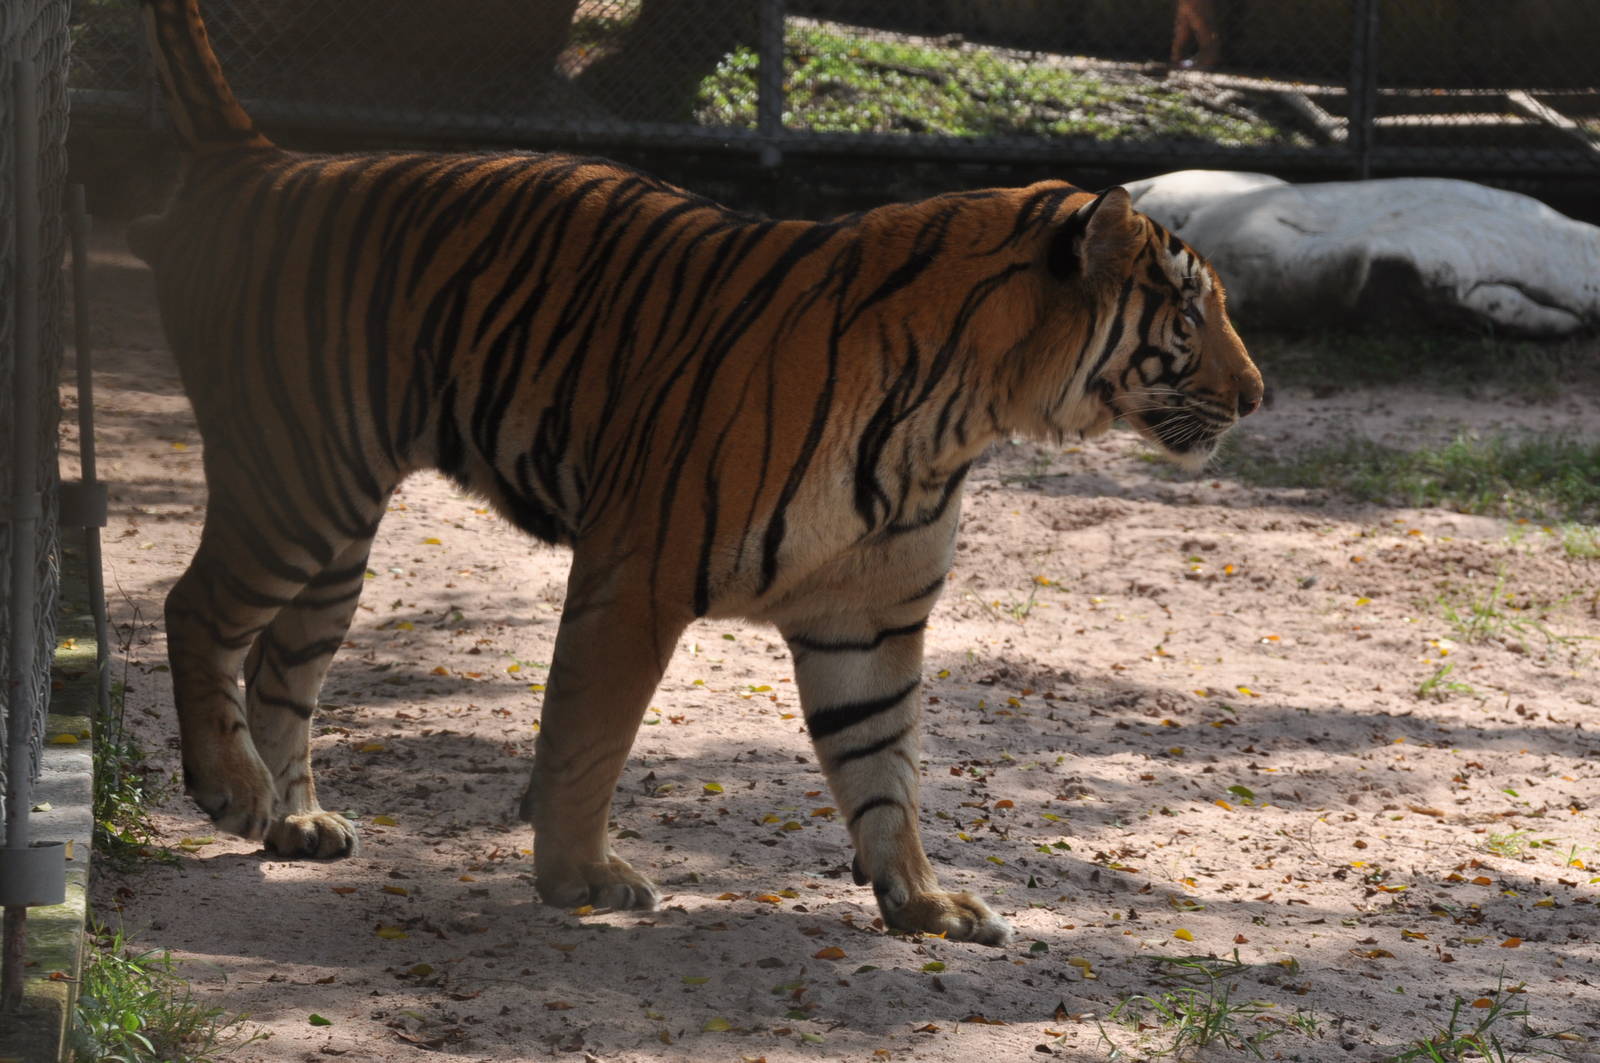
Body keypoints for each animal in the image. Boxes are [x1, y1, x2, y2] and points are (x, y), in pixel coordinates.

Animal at [132, 0, 1262, 946]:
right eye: (1189, 311)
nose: (1257, 395)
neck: (963, 418)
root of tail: (264, 159)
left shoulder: (869, 618)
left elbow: (883, 764)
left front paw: (924, 899)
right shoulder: (637, 576)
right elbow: (589, 737)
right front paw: (581, 876)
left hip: (337, 524)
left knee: (283, 664)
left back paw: (296, 820)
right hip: (295, 480)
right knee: (196, 607)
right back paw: (232, 788)